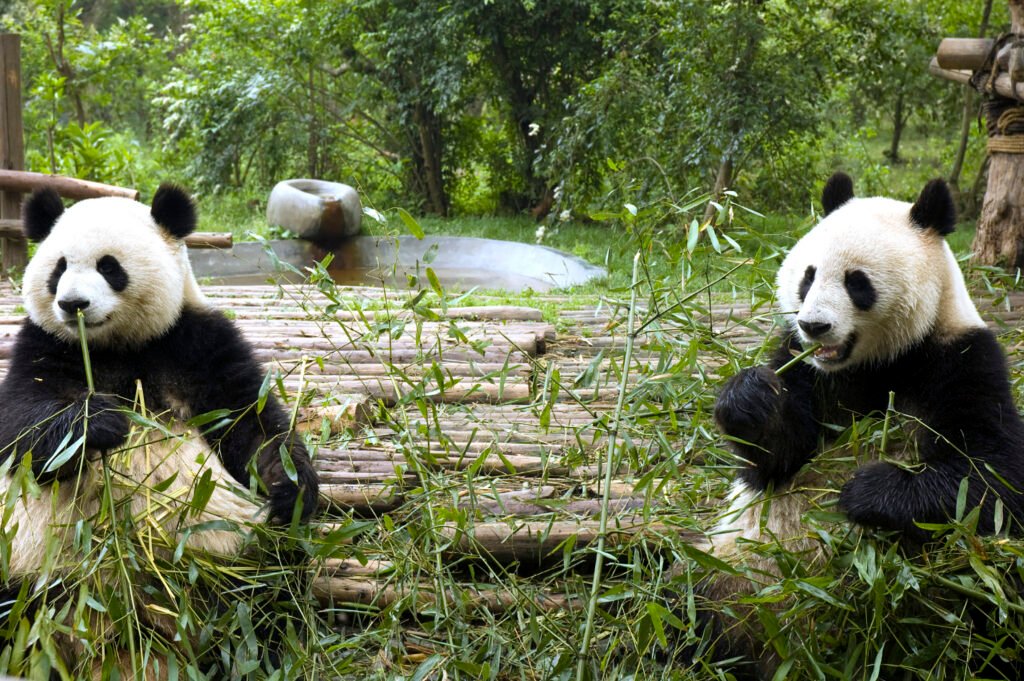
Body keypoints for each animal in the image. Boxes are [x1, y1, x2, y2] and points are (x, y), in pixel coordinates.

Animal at [0, 184, 319, 675]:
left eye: (109, 267)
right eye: (59, 268)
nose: (72, 305)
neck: (114, 348)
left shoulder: (198, 341)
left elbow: (250, 422)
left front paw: (290, 485)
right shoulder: (42, 345)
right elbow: (20, 426)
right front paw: (100, 421)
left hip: (236, 548)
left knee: (271, 589)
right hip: (23, 560)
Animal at [700, 174, 1024, 675]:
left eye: (857, 282)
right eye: (808, 276)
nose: (814, 326)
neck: (876, 363)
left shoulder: (963, 357)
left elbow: (991, 475)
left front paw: (864, 491)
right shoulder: (805, 367)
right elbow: (777, 458)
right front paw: (748, 398)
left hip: (969, 587)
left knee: (987, 604)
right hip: (731, 572)